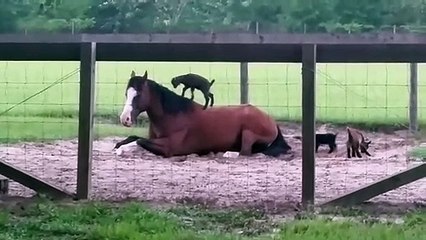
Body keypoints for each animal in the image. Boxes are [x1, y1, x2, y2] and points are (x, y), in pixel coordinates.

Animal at [113, 70, 292, 158]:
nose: (125, 119)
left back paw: (226, 153)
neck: (173, 115)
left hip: (248, 133)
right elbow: (134, 137)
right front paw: (118, 146)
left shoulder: (169, 147)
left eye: (138, 94)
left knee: (246, 152)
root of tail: (271, 120)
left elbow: (139, 141)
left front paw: (122, 149)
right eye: (126, 93)